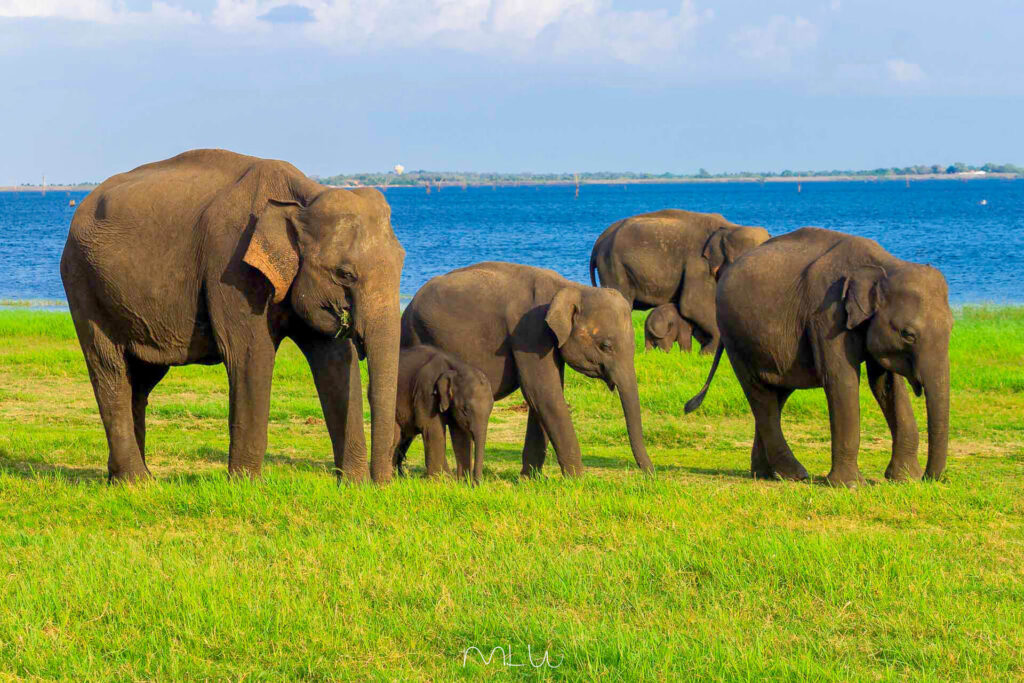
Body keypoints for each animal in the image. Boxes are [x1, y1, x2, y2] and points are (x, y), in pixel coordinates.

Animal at [60, 149, 405, 483]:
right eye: (345, 274)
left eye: (403, 260)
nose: (383, 483)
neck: (305, 194)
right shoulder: (232, 269)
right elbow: (251, 356)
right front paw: (246, 486)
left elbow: (337, 361)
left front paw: (353, 486)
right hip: (83, 285)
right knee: (110, 369)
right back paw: (137, 482)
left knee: (142, 379)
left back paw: (122, 478)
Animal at [392, 345, 494, 483]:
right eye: (465, 410)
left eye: (490, 410)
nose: (476, 484)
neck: (456, 367)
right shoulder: (426, 391)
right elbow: (431, 427)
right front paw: (445, 480)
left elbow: (460, 434)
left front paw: (462, 481)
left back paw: (400, 476)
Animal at [401, 262, 653, 477]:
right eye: (606, 346)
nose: (650, 476)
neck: (569, 287)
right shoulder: (529, 332)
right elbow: (543, 393)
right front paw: (578, 480)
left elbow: (541, 397)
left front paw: (530, 479)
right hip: (416, 334)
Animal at [589, 209, 770, 353]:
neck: (731, 227)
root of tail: (599, 241)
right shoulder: (698, 264)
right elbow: (693, 305)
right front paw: (706, 353)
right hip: (613, 266)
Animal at [685, 227, 952, 487]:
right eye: (908, 335)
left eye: (951, 328)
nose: (930, 478)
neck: (885, 264)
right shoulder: (827, 316)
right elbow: (842, 380)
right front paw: (850, 485)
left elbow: (887, 385)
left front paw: (905, 479)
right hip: (736, 339)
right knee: (760, 396)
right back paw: (795, 474)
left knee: (777, 394)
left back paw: (764, 474)